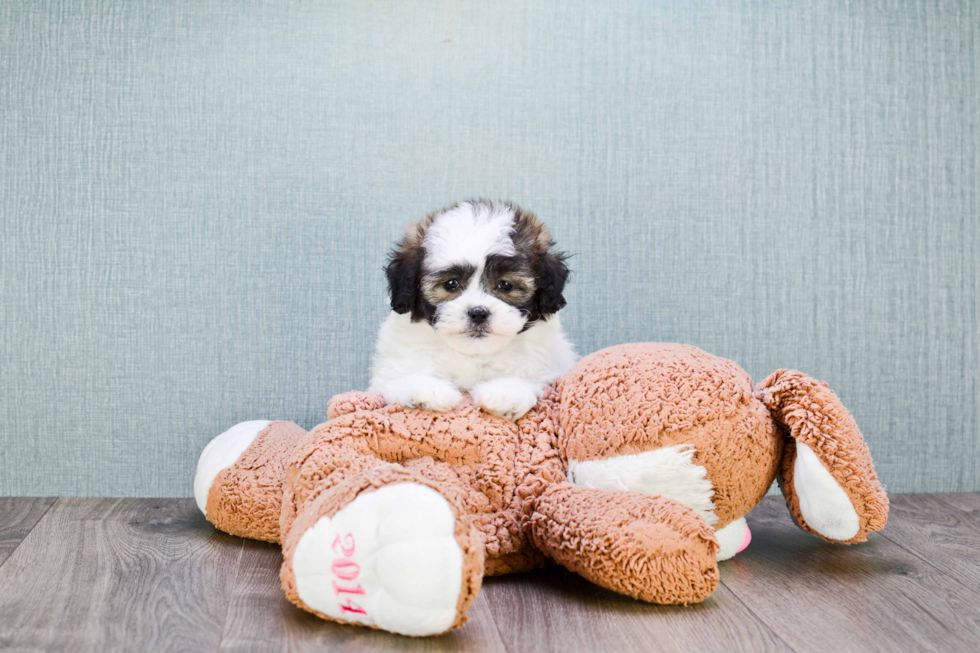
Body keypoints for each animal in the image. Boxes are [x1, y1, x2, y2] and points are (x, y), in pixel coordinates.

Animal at [372, 199, 580, 420]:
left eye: (505, 285)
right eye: (451, 284)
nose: (478, 313)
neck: (474, 354)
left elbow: (527, 376)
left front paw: (506, 392)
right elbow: (404, 375)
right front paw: (427, 391)